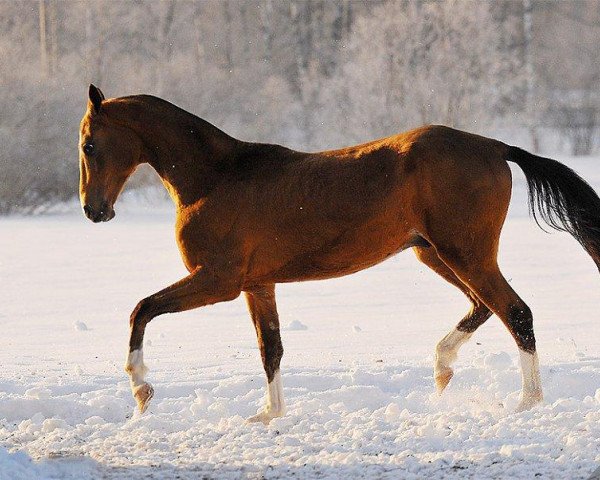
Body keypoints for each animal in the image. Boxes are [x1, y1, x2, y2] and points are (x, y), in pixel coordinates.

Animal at [78, 84, 600, 422]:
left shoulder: (218, 280)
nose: (93, 210)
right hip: (435, 254)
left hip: (464, 252)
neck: (213, 178)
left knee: (516, 311)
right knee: (485, 306)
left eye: (88, 144)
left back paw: (527, 401)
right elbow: (271, 349)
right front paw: (269, 414)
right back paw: (442, 368)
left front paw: (141, 390)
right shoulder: (257, 284)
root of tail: (494, 145)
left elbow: (141, 309)